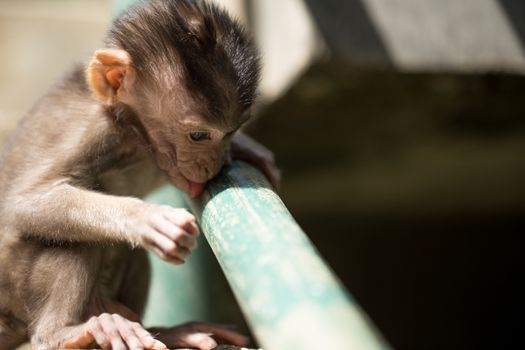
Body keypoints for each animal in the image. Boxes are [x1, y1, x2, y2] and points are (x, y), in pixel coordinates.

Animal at [0, 1, 278, 348]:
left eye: (231, 131)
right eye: (199, 136)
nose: (213, 165)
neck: (130, 131)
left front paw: (248, 148)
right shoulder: (89, 129)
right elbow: (24, 202)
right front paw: (147, 218)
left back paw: (162, 329)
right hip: (15, 285)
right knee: (67, 239)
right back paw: (63, 333)